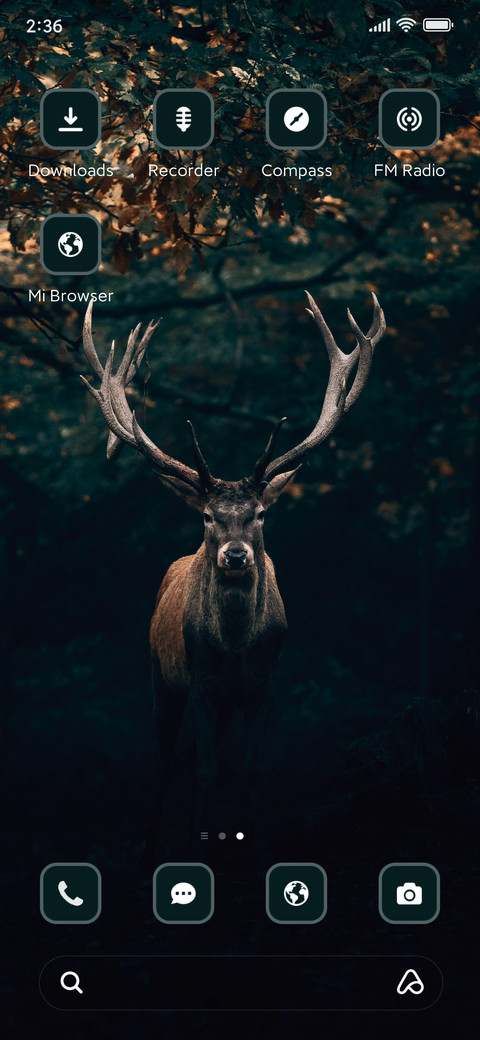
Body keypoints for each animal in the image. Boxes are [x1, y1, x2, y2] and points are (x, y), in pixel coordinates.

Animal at [81, 291, 385, 861]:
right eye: (207, 516)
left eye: (260, 513)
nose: (237, 556)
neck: (239, 645)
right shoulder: (201, 679)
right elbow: (205, 770)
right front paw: (195, 850)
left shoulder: (264, 683)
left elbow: (253, 769)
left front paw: (262, 847)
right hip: (159, 675)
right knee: (164, 760)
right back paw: (150, 849)